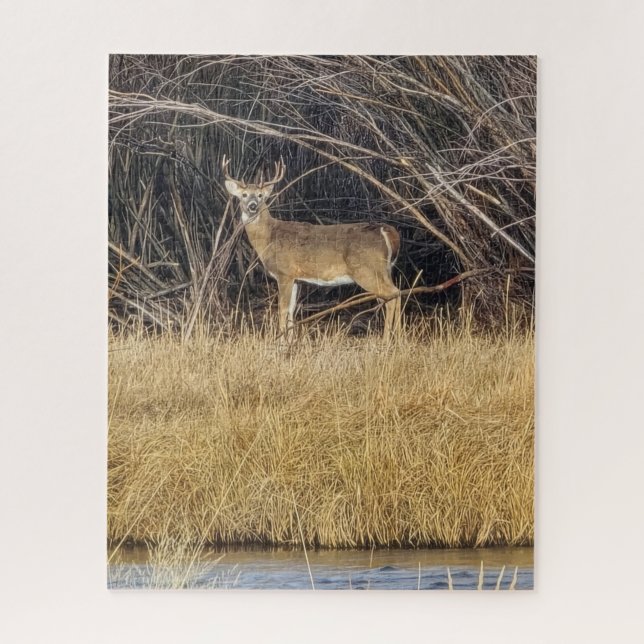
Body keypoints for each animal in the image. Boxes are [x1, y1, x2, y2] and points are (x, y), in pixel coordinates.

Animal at [222, 155, 401, 339]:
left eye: (260, 196)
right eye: (243, 195)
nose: (252, 206)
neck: (269, 237)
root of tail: (386, 231)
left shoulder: (284, 272)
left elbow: (282, 310)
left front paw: (279, 341)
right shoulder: (296, 278)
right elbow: (291, 311)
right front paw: (290, 341)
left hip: (367, 270)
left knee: (393, 295)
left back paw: (387, 338)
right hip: (384, 270)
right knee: (396, 294)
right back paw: (398, 336)